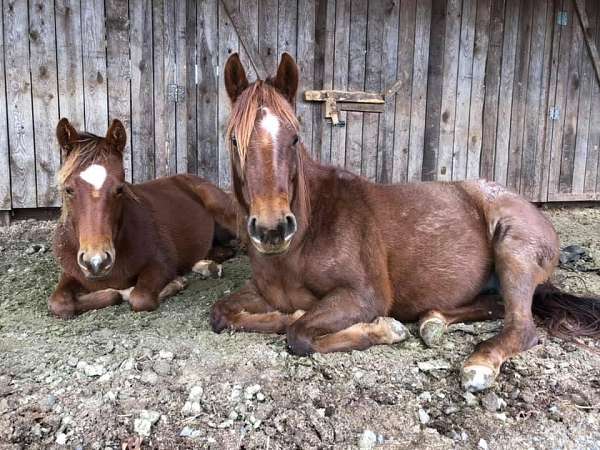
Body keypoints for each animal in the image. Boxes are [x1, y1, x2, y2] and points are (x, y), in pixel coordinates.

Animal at [48, 118, 236, 318]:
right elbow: (59, 303)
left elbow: (140, 297)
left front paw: (174, 283)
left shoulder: (161, 264)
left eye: (120, 189)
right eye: (68, 189)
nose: (96, 262)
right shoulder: (71, 273)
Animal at [199, 51, 600, 390]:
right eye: (234, 140)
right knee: (495, 306)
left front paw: (383, 330)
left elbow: (299, 333)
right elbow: (221, 313)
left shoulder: (363, 296)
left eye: (295, 138)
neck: (301, 241)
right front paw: (287, 314)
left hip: (513, 252)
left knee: (521, 326)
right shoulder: (261, 292)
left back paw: (479, 364)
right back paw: (432, 322)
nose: (272, 229)